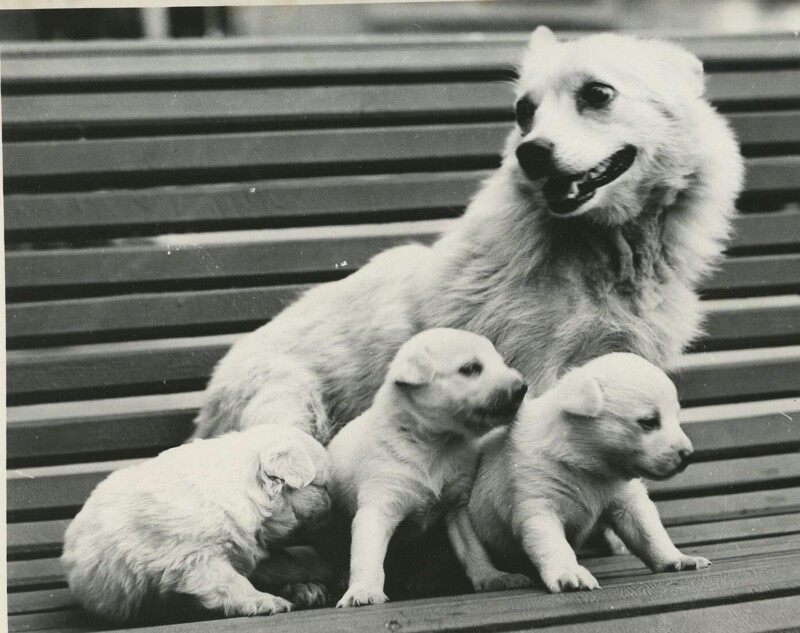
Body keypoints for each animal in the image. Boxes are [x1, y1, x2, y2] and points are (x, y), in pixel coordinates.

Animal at [61, 424, 332, 624]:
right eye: (324, 487)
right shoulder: (195, 559)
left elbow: (287, 563)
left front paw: (319, 571)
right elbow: (232, 582)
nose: (334, 502)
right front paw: (263, 601)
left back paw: (304, 589)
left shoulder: (247, 550)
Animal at [328, 328, 536, 604]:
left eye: (500, 361)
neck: (434, 446)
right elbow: (367, 557)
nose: (522, 387)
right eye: (470, 368)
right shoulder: (378, 505)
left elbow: (472, 548)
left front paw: (493, 577)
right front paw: (364, 590)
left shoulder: (457, 507)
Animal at [466, 354, 708, 592]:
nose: (688, 455)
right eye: (649, 422)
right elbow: (553, 543)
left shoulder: (626, 499)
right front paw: (570, 573)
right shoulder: (538, 501)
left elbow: (648, 531)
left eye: (676, 417)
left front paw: (677, 558)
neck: (586, 465)